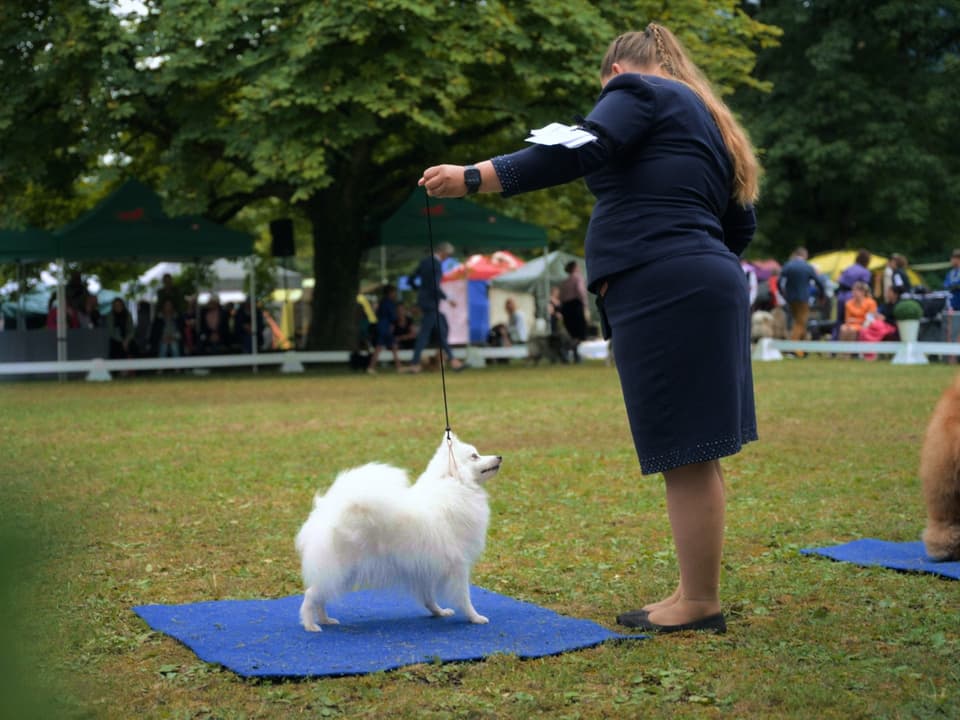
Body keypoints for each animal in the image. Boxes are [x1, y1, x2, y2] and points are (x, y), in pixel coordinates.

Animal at [294, 434, 502, 632]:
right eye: (474, 456)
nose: (499, 456)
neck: (456, 487)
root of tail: (330, 511)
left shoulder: (424, 566)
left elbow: (428, 597)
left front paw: (439, 612)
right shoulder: (458, 565)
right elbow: (464, 597)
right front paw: (475, 617)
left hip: (343, 573)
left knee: (320, 595)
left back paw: (325, 620)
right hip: (342, 569)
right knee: (312, 594)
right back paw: (311, 625)